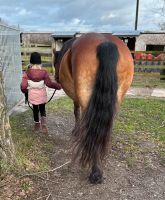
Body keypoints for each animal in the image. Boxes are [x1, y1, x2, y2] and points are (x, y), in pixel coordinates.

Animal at [53, 32, 134, 184]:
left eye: (55, 63)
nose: (56, 78)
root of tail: (105, 43)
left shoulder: (77, 98)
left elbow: (76, 112)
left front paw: (76, 131)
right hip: (116, 98)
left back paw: (96, 172)